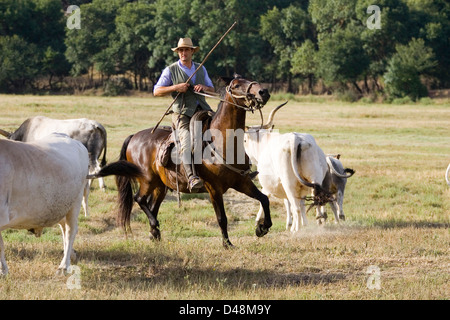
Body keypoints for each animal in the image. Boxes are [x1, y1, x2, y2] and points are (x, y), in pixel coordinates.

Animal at [0, 132, 89, 276]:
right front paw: (3, 270)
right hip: (59, 206)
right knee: (64, 228)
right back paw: (71, 255)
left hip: (75, 202)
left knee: (70, 231)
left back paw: (64, 266)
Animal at [98, 75, 272, 248]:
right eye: (236, 85)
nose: (263, 92)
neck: (222, 143)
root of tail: (134, 136)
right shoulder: (214, 189)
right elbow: (222, 218)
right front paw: (227, 244)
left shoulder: (242, 182)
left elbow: (264, 199)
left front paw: (262, 228)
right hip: (147, 180)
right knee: (139, 199)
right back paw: (155, 225)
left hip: (160, 186)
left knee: (152, 206)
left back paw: (155, 234)